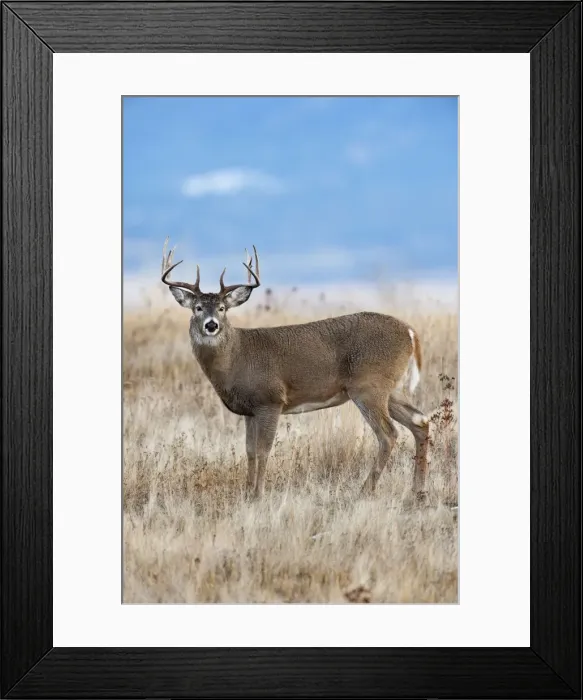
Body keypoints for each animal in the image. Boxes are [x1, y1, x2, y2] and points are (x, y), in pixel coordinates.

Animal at [161, 238, 430, 502]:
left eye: (222, 308)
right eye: (197, 307)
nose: (211, 325)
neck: (236, 357)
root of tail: (410, 332)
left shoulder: (270, 400)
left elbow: (263, 450)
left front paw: (258, 495)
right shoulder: (249, 410)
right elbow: (249, 451)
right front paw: (247, 492)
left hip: (368, 386)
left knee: (388, 434)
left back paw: (365, 491)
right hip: (389, 388)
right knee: (420, 421)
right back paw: (417, 491)